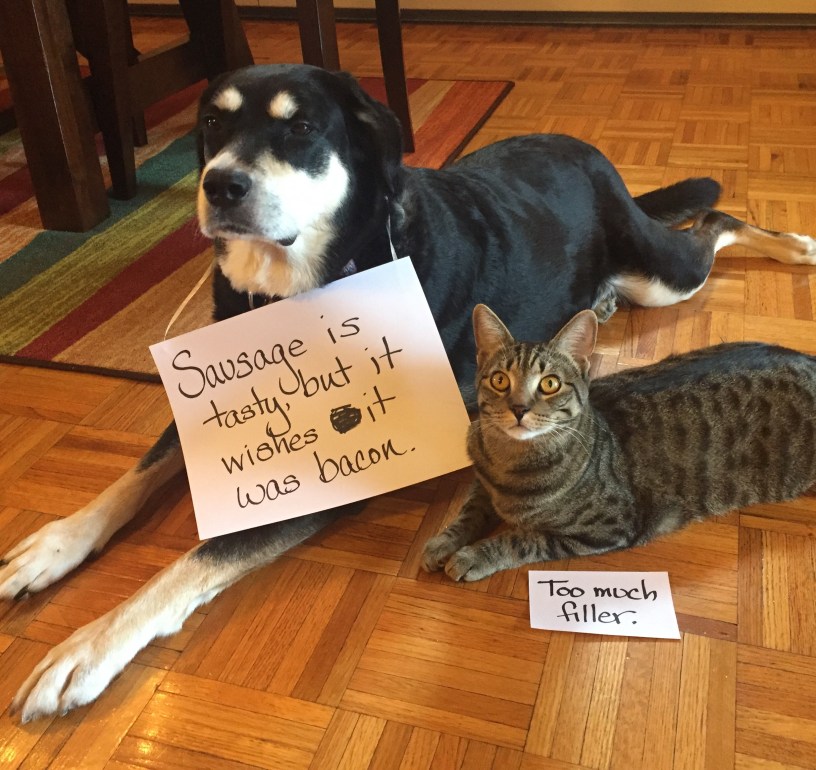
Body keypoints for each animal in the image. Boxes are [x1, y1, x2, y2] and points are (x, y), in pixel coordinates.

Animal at [422, 304, 816, 582]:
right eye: (500, 380)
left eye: (549, 384)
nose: (518, 409)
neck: (509, 463)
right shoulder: (482, 483)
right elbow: (470, 510)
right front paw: (443, 542)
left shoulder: (604, 529)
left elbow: (522, 537)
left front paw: (473, 555)